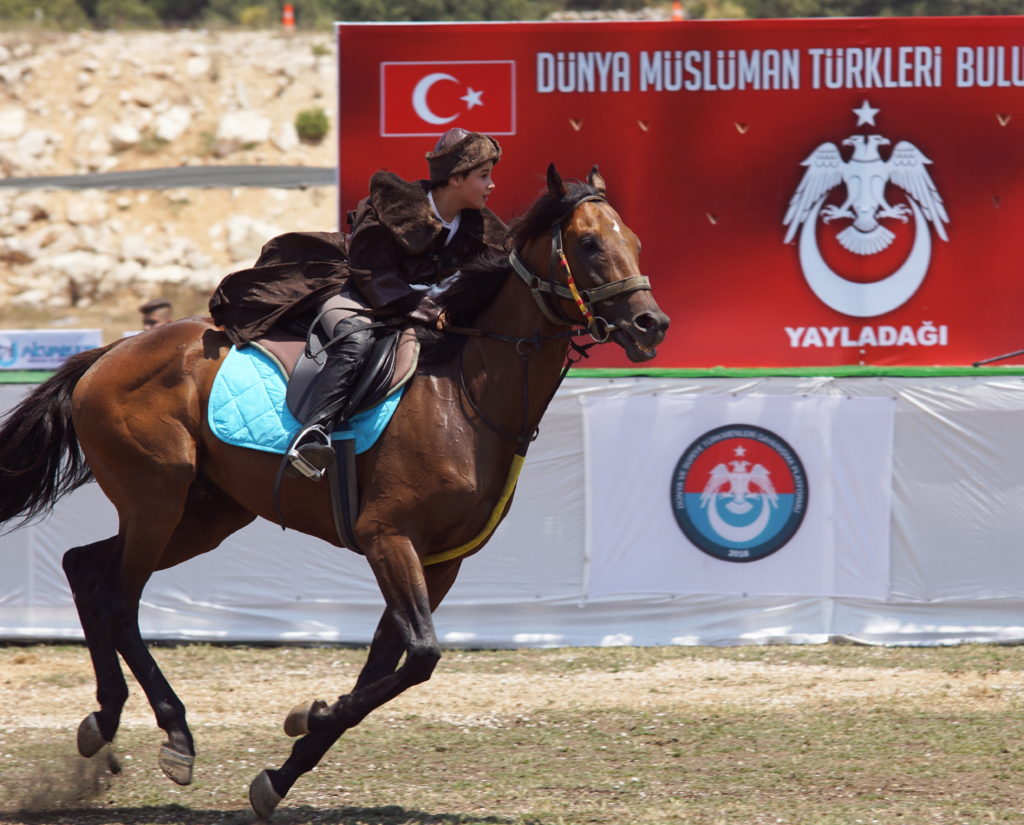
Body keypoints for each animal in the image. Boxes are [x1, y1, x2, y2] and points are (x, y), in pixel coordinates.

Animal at [0, 162, 671, 818]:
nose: (651, 324)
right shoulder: (387, 537)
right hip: (155, 501)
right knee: (118, 597)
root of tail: (108, 353)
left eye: (637, 242)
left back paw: (104, 722)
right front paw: (311, 714)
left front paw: (282, 771)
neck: (466, 392)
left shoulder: (438, 562)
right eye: (589, 244)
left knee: (85, 568)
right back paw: (175, 734)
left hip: (204, 516)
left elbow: (390, 662)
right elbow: (421, 655)